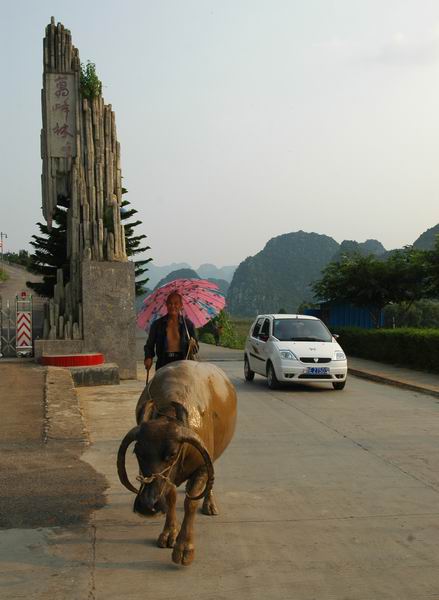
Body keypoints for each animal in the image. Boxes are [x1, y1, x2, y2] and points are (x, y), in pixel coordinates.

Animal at [117, 360, 237, 568]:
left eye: (172, 453)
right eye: (137, 452)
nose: (147, 505)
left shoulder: (202, 467)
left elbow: (191, 503)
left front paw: (184, 547)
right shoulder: (166, 480)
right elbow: (171, 497)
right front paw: (169, 533)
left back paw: (209, 504)